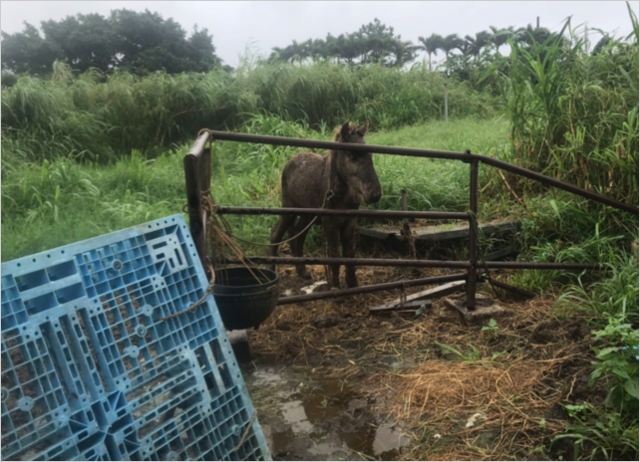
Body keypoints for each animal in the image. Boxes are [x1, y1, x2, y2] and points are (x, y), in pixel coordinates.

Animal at [268, 122, 382, 288]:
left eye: (371, 154)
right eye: (352, 156)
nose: (375, 194)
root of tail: (291, 161)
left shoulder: (350, 222)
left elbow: (349, 253)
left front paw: (353, 283)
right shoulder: (330, 223)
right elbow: (334, 254)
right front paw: (335, 286)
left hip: (307, 215)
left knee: (297, 236)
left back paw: (302, 271)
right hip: (288, 210)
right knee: (276, 234)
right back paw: (270, 271)